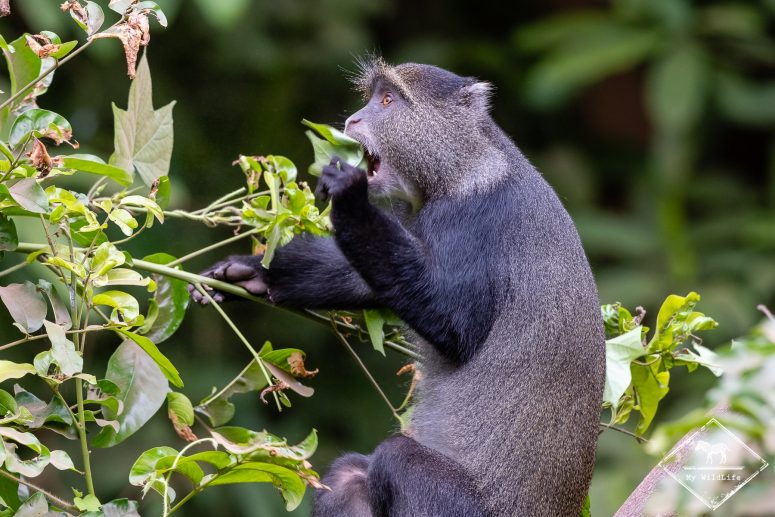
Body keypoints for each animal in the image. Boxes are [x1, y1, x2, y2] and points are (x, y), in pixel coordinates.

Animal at [189, 57, 606, 516]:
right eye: (371, 97)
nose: (352, 119)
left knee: (396, 459)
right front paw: (253, 273)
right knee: (350, 475)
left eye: (387, 100)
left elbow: (454, 323)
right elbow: (369, 279)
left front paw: (348, 197)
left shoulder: (476, 217)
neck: (464, 166)